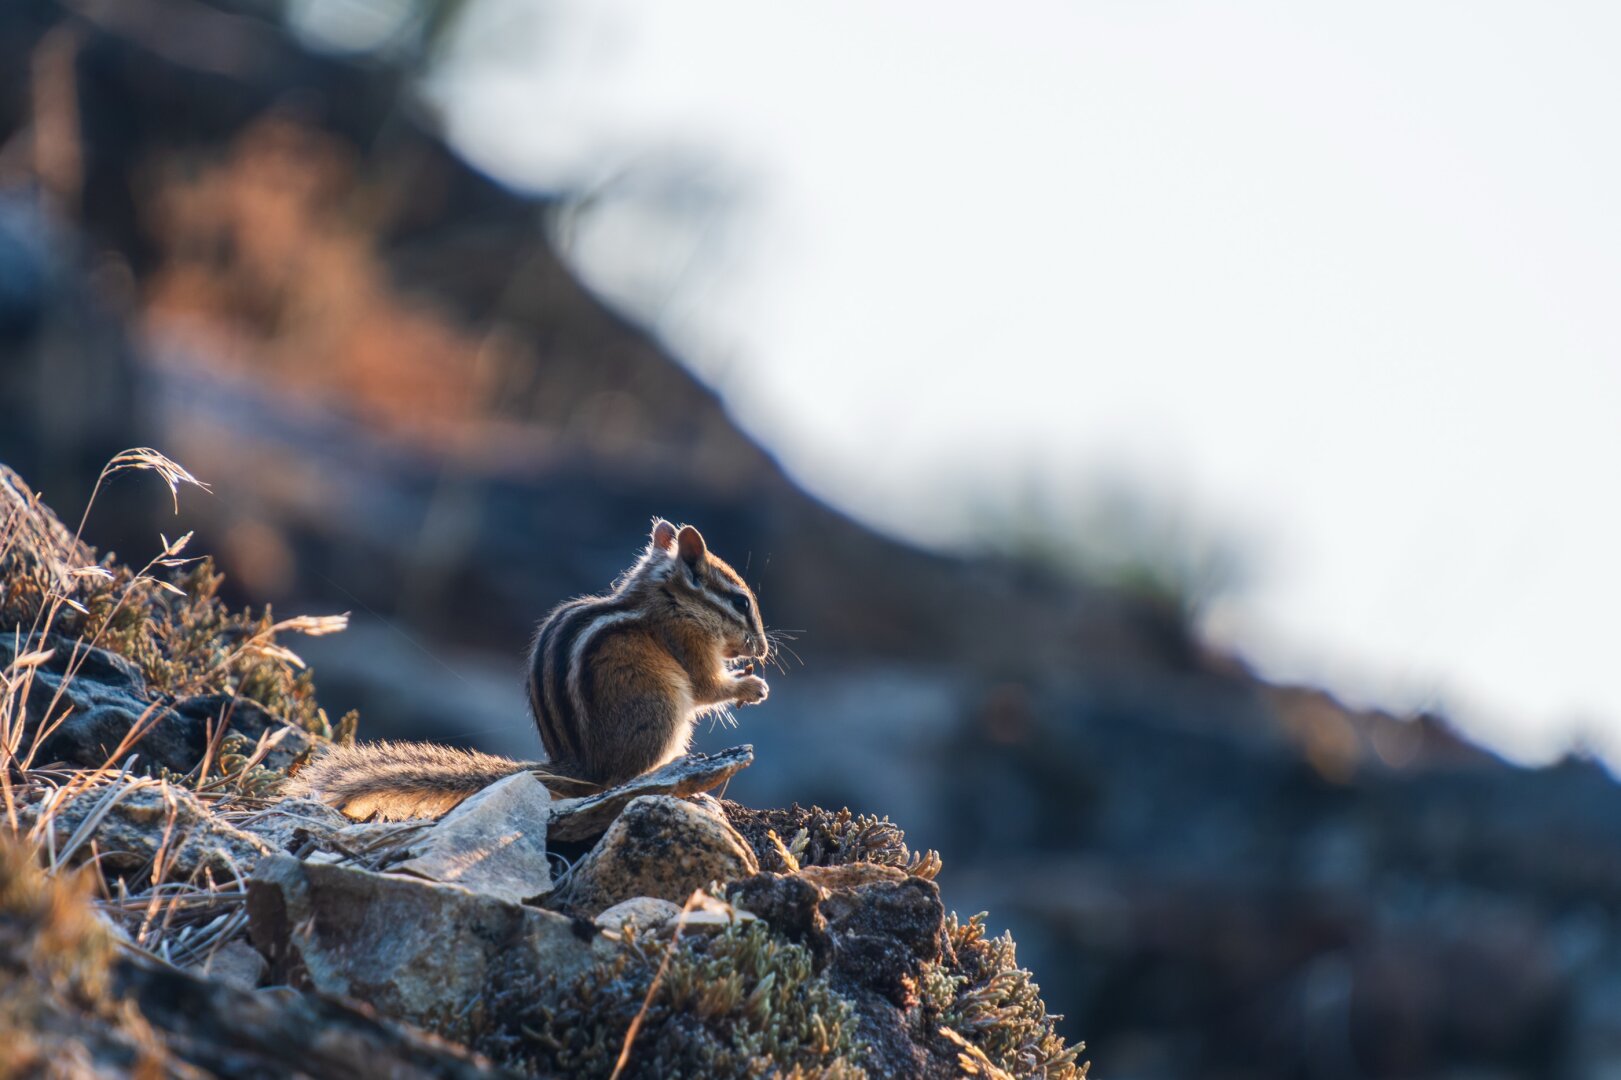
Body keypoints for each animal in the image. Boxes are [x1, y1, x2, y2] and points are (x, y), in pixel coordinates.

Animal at [283, 519, 771, 821]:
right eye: (741, 602)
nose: (764, 649)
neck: (663, 599)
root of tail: (581, 767)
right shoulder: (687, 644)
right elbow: (707, 689)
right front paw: (752, 686)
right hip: (665, 712)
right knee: (625, 781)